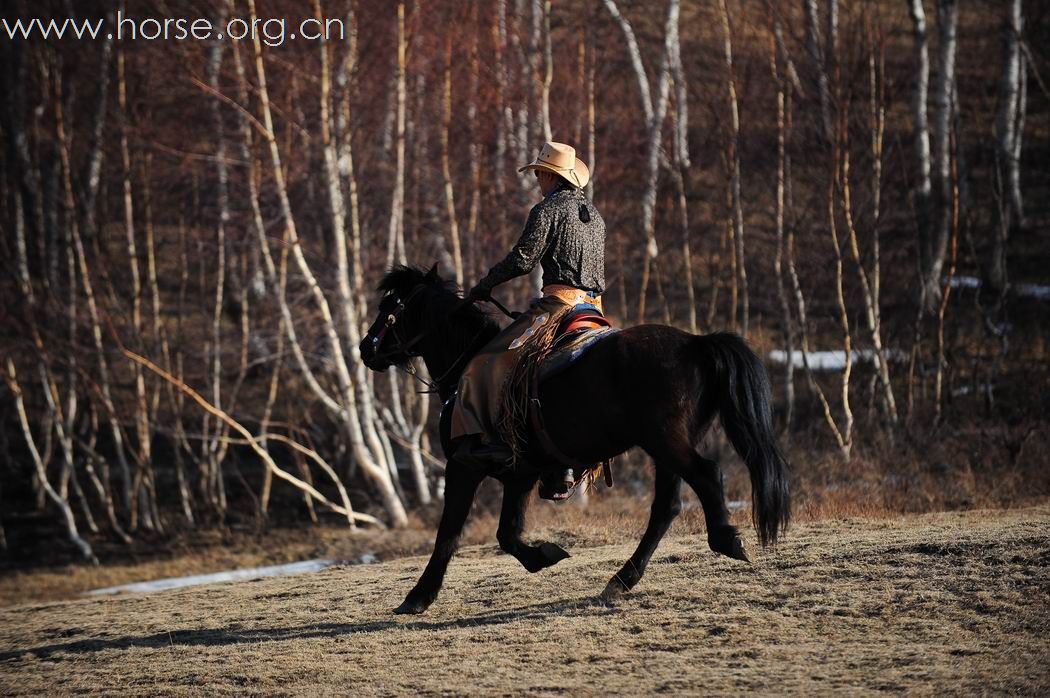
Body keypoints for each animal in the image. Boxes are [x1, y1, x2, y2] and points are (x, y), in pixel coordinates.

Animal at [361, 264, 789, 612]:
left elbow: (448, 535)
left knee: (706, 475)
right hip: (665, 448)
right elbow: (507, 534)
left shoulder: (463, 467)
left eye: (389, 306)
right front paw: (545, 555)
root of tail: (696, 343)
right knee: (666, 507)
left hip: (665, 442)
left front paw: (417, 597)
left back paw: (727, 541)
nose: (366, 348)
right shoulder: (520, 475)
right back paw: (621, 580)